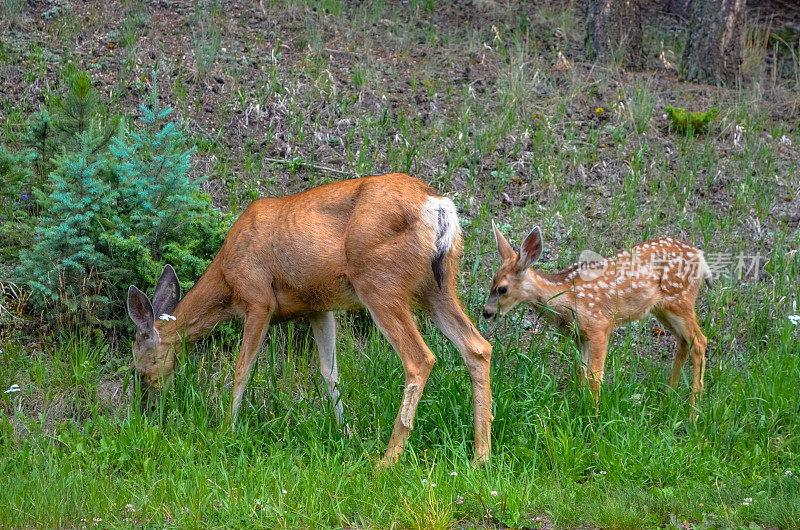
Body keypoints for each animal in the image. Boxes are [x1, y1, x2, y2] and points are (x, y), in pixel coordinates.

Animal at [126, 172, 494, 462]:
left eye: (136, 366)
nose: (145, 411)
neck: (226, 280)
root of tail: (438, 205)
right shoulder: (319, 306)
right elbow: (330, 373)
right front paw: (347, 434)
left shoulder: (257, 299)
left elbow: (242, 369)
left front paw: (227, 430)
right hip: (437, 286)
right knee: (477, 347)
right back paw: (481, 456)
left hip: (379, 280)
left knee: (420, 358)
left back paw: (388, 460)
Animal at [484, 223, 708, 408]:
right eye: (491, 281)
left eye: (502, 289)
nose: (486, 312)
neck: (566, 299)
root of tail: (700, 256)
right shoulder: (579, 335)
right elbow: (580, 371)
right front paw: (580, 406)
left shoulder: (599, 326)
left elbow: (595, 377)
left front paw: (594, 416)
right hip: (661, 309)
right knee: (685, 341)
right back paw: (668, 397)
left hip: (681, 300)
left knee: (700, 341)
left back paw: (694, 411)